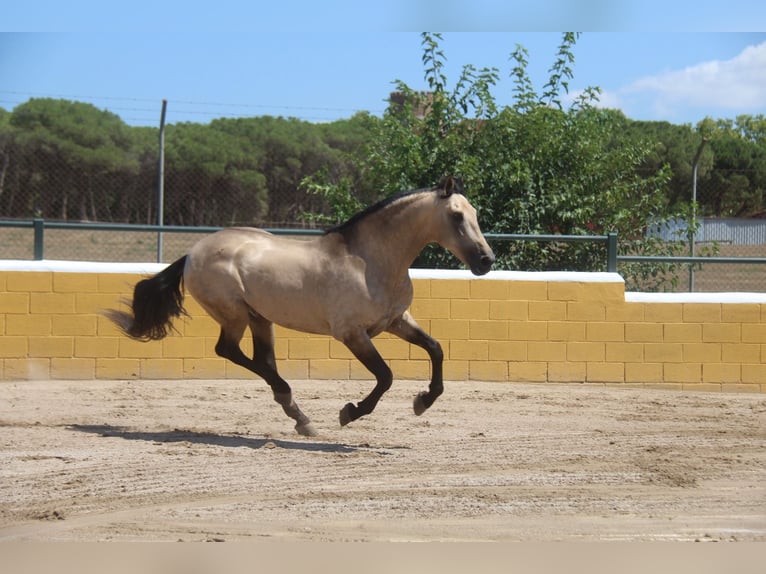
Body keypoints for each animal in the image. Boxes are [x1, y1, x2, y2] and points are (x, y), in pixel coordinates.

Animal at [105, 176, 496, 436]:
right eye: (457, 216)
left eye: (475, 212)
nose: (486, 260)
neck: (370, 261)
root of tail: (191, 254)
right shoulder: (352, 334)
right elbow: (385, 376)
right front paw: (350, 412)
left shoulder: (396, 321)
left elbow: (436, 349)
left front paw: (422, 402)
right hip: (234, 314)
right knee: (230, 351)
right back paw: (297, 408)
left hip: (259, 318)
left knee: (260, 359)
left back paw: (298, 415)